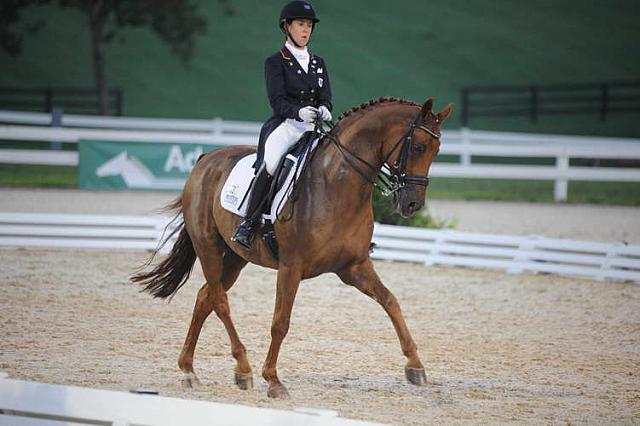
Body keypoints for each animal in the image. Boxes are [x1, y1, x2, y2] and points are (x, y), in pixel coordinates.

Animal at [131, 97, 450, 400]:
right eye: (419, 146)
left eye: (437, 151)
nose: (412, 205)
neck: (335, 184)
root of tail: (206, 158)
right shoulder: (291, 267)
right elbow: (280, 322)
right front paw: (273, 380)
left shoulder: (353, 267)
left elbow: (390, 301)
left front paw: (415, 365)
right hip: (207, 245)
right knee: (220, 301)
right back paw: (242, 368)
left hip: (235, 257)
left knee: (205, 298)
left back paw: (189, 369)